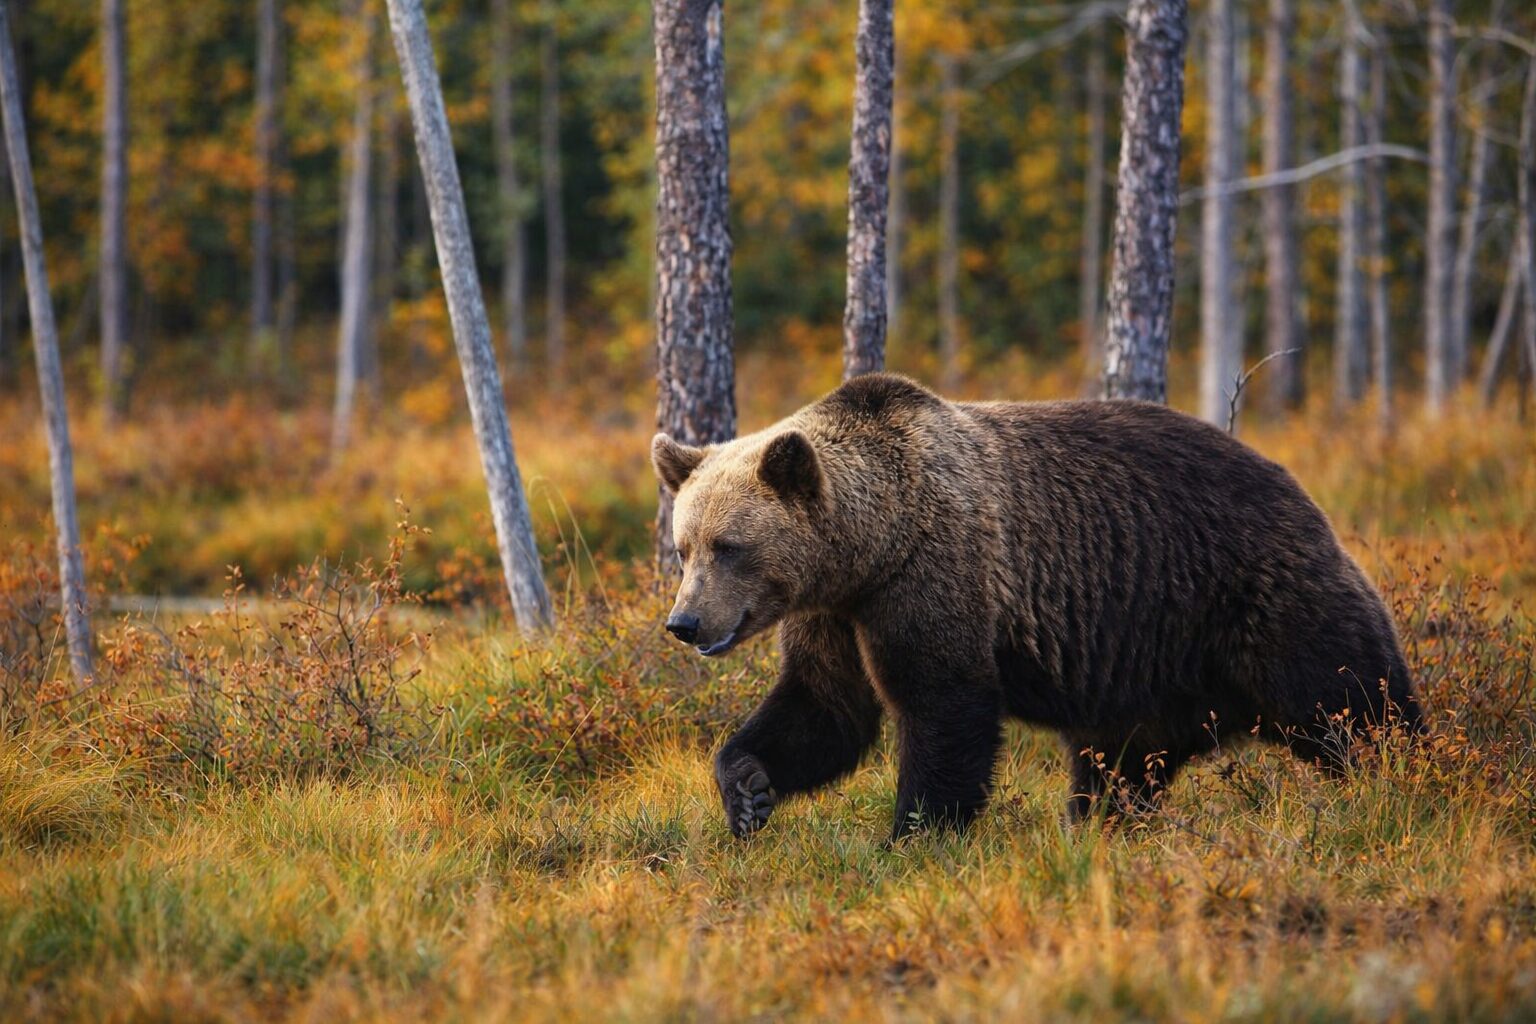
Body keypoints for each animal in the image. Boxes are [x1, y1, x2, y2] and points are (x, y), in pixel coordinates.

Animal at [651, 373, 1419, 840]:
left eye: (729, 546)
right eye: (684, 546)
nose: (685, 624)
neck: (872, 546)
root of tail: (1297, 488)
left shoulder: (935, 573)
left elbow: (943, 706)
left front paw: (913, 834)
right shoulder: (835, 615)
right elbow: (825, 708)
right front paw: (747, 789)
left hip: (1255, 600)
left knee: (1349, 699)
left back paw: (1413, 779)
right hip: (1148, 671)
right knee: (1119, 765)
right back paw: (1100, 826)